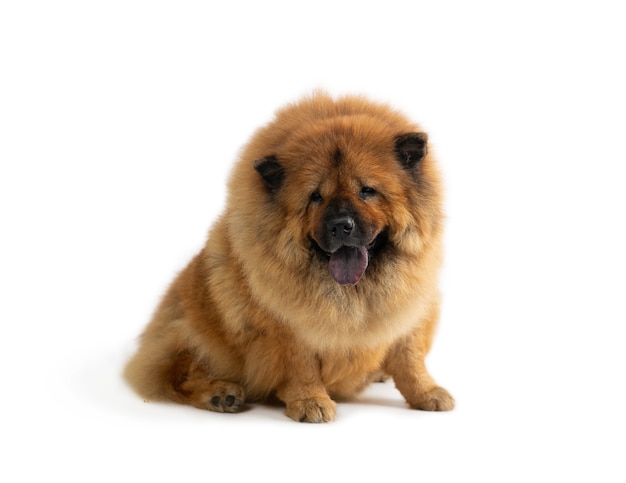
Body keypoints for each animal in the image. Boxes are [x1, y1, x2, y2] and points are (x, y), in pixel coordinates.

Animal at [123, 92, 454, 422]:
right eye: (316, 197)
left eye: (367, 191)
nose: (340, 225)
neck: (351, 292)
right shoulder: (285, 329)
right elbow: (300, 366)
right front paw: (310, 402)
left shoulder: (410, 313)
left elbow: (410, 360)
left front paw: (428, 394)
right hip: (189, 336)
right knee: (178, 375)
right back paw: (221, 394)